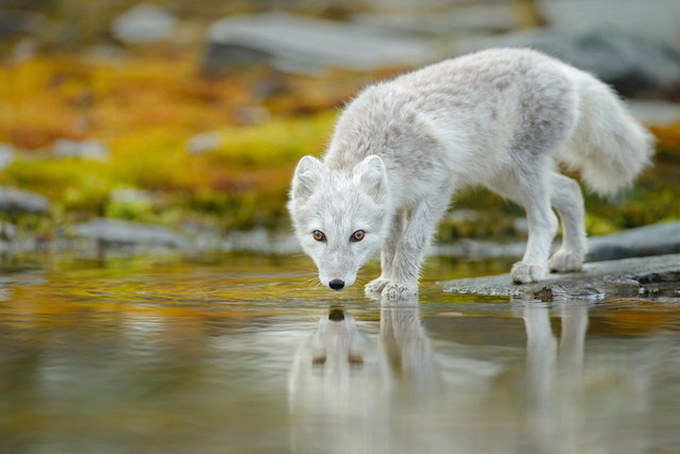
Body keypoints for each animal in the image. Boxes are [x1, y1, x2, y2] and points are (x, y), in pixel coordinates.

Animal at [286, 48, 652, 300]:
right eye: (318, 235)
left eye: (357, 235)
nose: (336, 284)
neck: (383, 139)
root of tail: (565, 69)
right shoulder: (395, 203)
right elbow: (391, 245)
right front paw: (386, 281)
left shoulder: (438, 188)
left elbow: (411, 243)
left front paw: (402, 286)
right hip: (504, 176)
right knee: (571, 190)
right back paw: (571, 258)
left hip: (522, 170)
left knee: (546, 217)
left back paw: (532, 267)